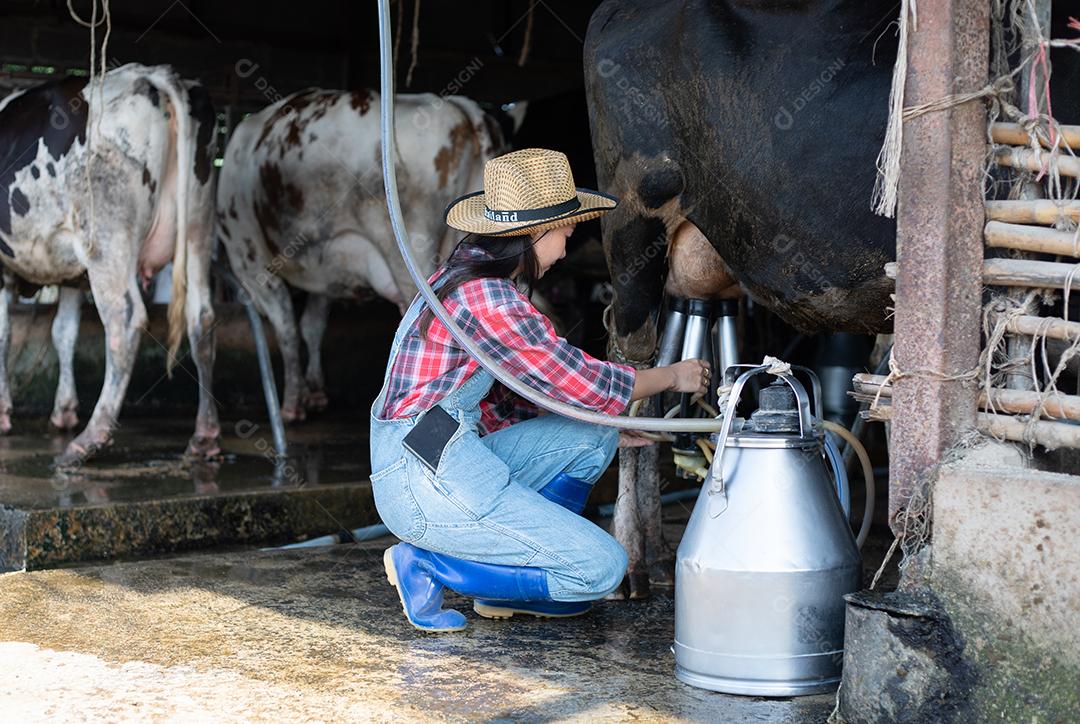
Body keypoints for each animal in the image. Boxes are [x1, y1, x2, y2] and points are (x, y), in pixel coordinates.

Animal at [0, 65, 219, 468]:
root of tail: (152, 76)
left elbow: (7, 335)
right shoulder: (70, 275)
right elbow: (63, 332)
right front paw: (63, 410)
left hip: (106, 237)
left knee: (125, 320)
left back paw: (87, 441)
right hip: (199, 225)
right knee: (202, 317)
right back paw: (204, 437)